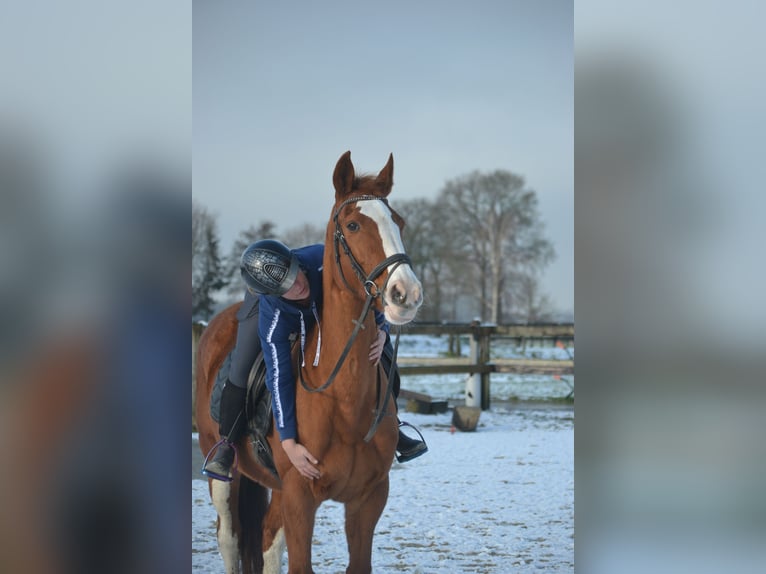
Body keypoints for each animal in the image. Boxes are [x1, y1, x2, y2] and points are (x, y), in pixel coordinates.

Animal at [196, 152, 426, 574]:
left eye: (398, 222)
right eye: (353, 225)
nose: (407, 293)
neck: (343, 402)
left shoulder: (369, 499)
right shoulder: (300, 497)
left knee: (267, 541)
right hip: (225, 480)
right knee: (230, 540)